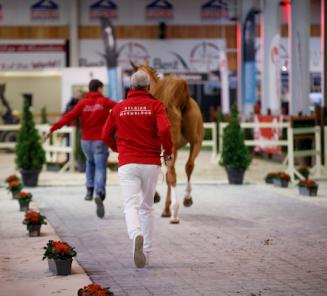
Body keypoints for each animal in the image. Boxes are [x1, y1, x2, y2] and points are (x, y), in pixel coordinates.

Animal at [131, 62, 204, 224]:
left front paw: (157, 198)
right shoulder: (173, 149)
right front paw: (165, 208)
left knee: (172, 174)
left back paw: (175, 212)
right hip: (195, 142)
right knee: (188, 166)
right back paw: (186, 199)